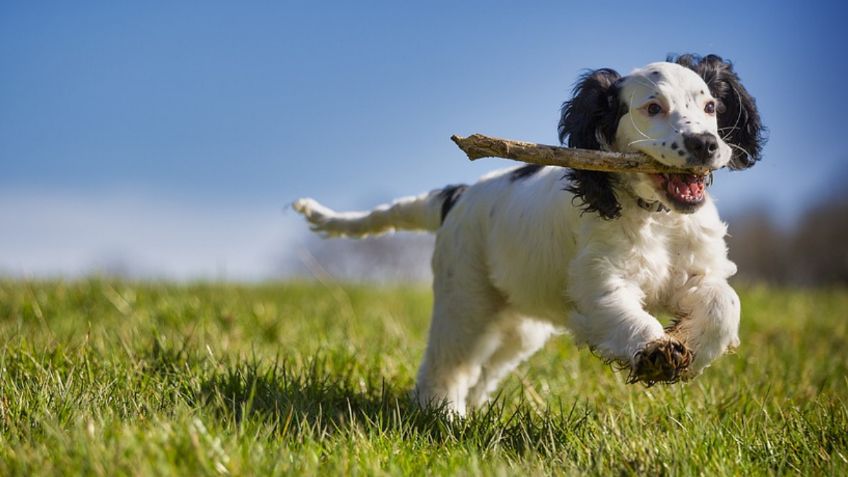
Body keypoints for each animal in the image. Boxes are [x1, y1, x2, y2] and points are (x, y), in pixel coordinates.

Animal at [294, 54, 764, 414]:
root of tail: (457, 195)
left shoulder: (696, 271)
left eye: (710, 107)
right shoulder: (599, 282)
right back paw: (442, 415)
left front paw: (689, 346)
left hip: (519, 326)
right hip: (465, 299)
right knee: (447, 363)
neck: (656, 217)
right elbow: (625, 314)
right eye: (652, 108)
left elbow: (726, 303)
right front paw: (656, 352)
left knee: (484, 370)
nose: (706, 145)